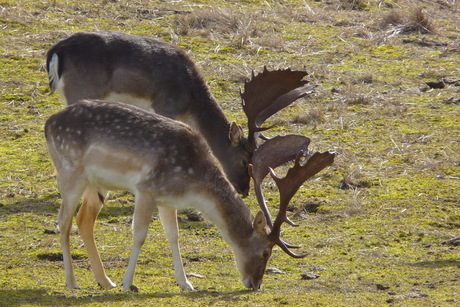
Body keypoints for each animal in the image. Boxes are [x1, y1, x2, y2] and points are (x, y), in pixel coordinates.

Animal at [45, 31, 316, 197]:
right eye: (243, 159)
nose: (244, 190)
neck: (191, 102)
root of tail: (56, 51)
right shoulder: (166, 106)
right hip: (82, 89)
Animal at [45, 100, 336, 292]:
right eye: (266, 252)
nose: (255, 285)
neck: (193, 185)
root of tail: (48, 123)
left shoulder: (166, 200)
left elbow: (174, 236)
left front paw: (185, 283)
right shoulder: (146, 189)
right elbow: (139, 235)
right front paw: (129, 284)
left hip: (96, 184)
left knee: (84, 221)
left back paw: (105, 281)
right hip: (69, 172)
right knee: (63, 222)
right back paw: (72, 283)